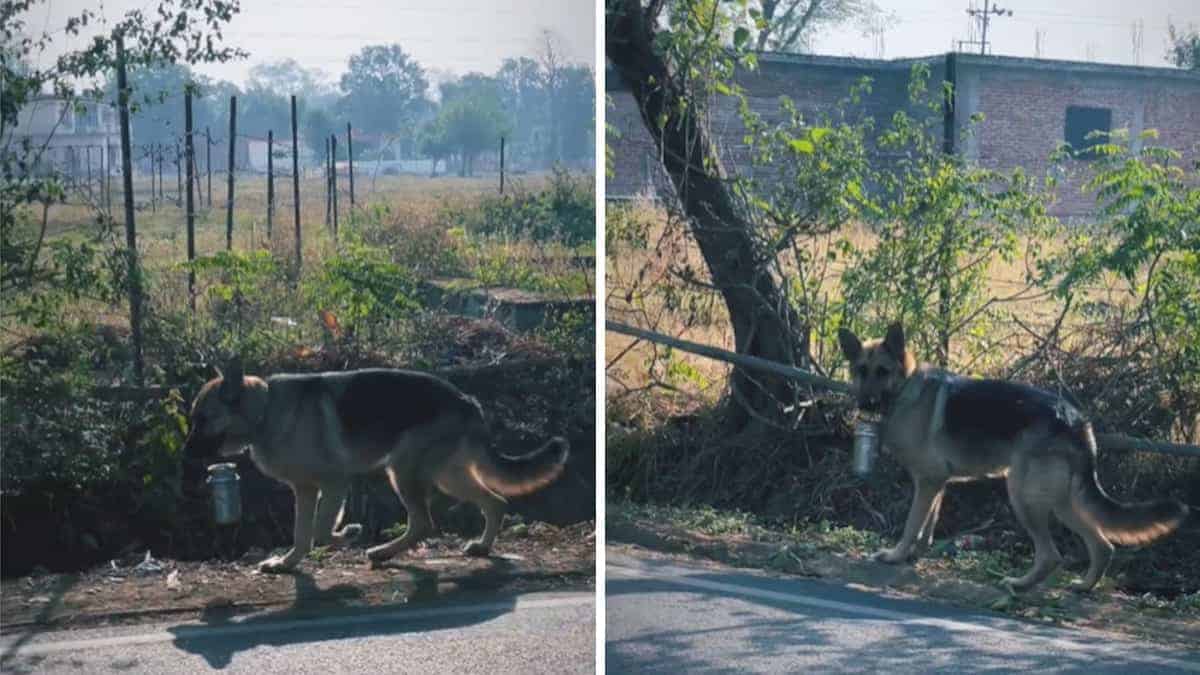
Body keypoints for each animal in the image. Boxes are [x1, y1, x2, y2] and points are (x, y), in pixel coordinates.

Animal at [180, 360, 568, 569]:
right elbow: (302, 534)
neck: (264, 411)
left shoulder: (334, 484)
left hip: (404, 472)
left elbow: (321, 531)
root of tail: (467, 400)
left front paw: (348, 534)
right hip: (446, 476)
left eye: (203, 420)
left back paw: (383, 551)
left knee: (426, 522)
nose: (184, 455)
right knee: (493, 502)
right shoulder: (305, 491)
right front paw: (287, 564)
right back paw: (481, 547)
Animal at [840, 319, 1185, 588]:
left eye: (882, 372)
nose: (865, 404)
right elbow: (927, 527)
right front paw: (914, 555)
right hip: (1060, 501)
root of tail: (1076, 420)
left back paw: (1020, 584)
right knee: (1103, 544)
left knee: (1051, 555)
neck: (905, 389)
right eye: (861, 370)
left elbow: (912, 525)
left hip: (1023, 496)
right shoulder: (936, 484)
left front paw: (896, 555)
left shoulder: (927, 483)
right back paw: (1084, 586)